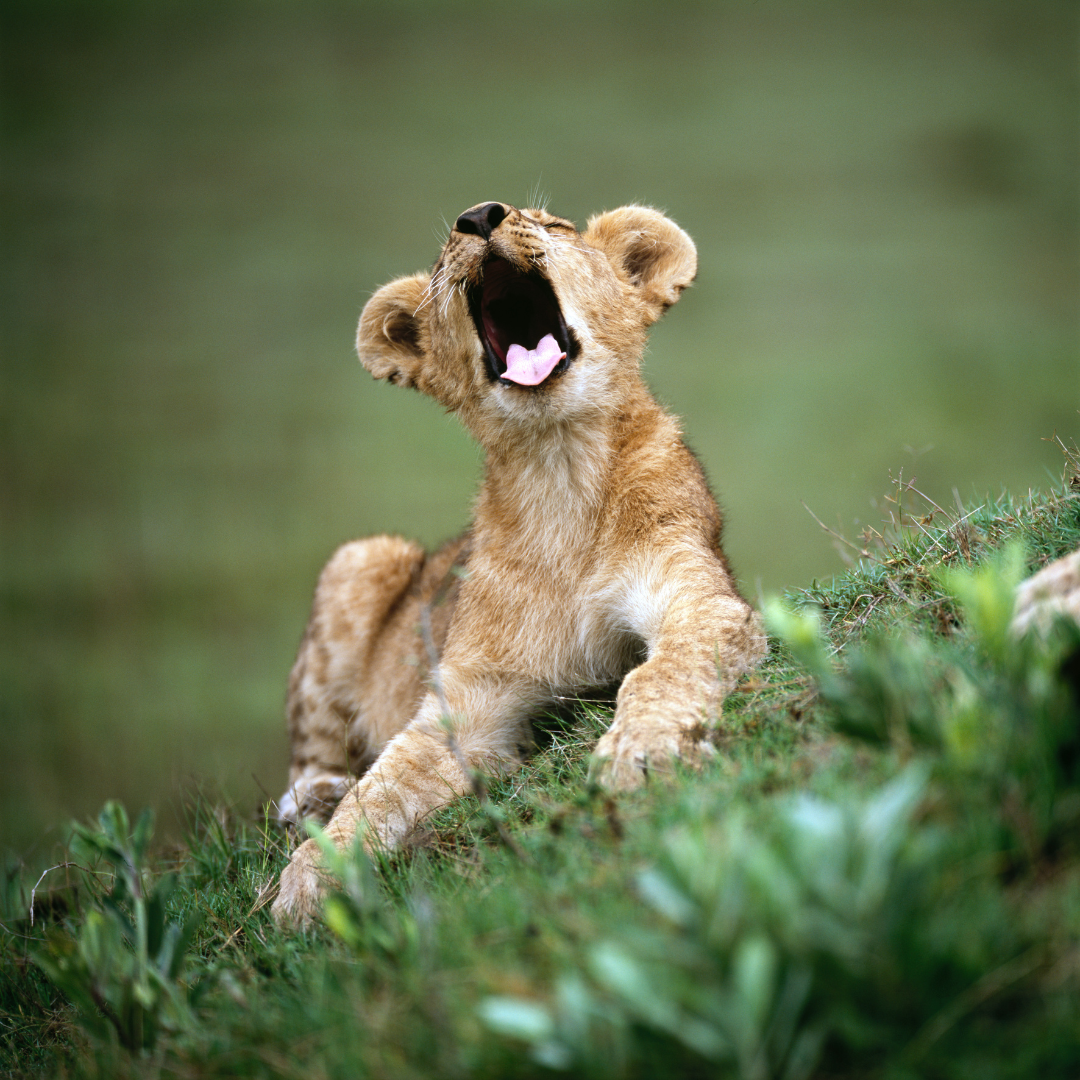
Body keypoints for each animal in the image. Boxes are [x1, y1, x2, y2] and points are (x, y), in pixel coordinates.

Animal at [271, 201, 766, 925]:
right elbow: (384, 785)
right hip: (358, 558)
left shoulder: (698, 599)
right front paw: (306, 886)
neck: (556, 470)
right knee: (316, 756)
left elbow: (661, 672)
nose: (479, 216)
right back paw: (316, 796)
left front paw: (640, 755)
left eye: (555, 226)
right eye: (444, 255)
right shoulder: (467, 701)